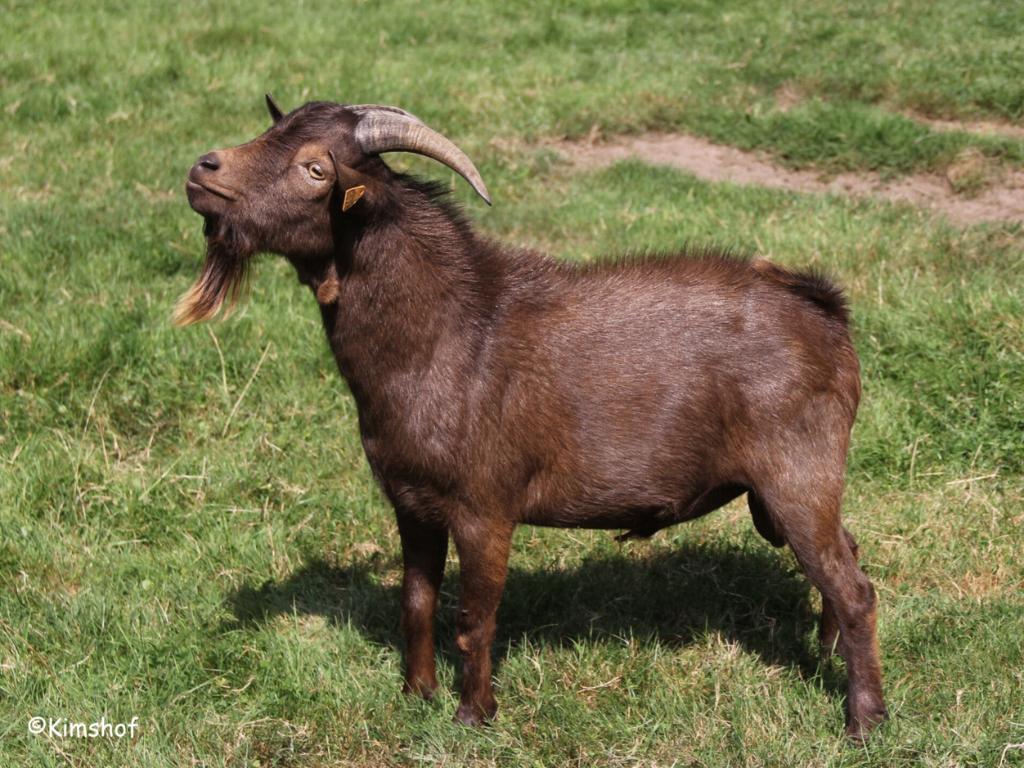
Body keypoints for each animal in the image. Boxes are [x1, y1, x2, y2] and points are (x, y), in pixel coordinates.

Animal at [177, 95, 887, 739]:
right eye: (273, 129)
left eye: (315, 168)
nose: (203, 169)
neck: (447, 334)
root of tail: (828, 314)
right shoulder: (412, 502)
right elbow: (417, 600)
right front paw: (415, 695)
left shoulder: (484, 507)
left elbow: (475, 617)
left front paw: (473, 715)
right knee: (846, 555)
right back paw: (824, 651)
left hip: (796, 475)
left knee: (855, 587)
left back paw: (863, 720)